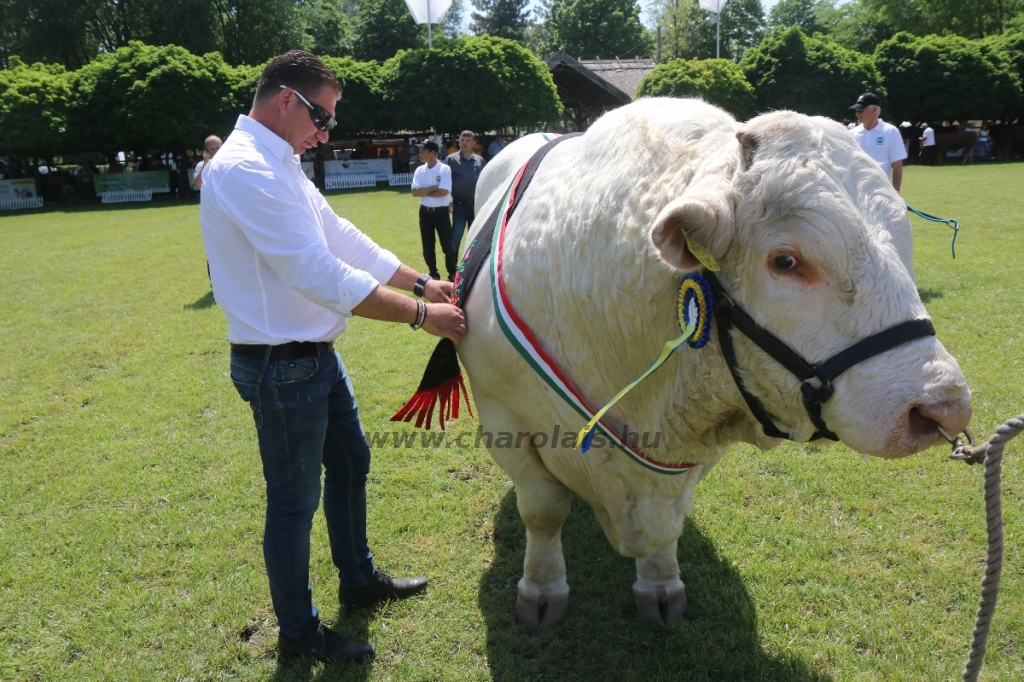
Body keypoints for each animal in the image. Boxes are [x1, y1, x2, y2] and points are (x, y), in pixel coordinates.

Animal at [460, 96, 970, 626]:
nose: (944, 407)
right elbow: (543, 512)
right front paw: (541, 592)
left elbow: (670, 527)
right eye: (786, 261)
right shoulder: (505, 421)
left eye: (904, 245)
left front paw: (660, 585)